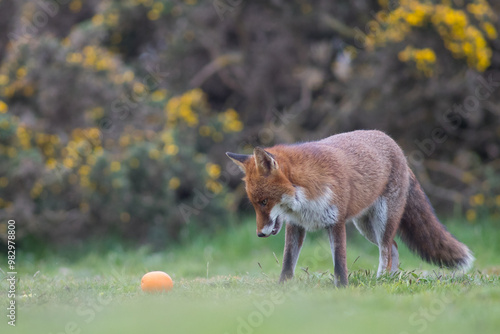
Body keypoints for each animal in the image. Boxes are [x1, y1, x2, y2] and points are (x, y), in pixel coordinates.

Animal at [229, 129, 474, 286]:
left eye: (264, 202)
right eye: (254, 204)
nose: (260, 234)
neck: (306, 199)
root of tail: (397, 147)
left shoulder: (335, 222)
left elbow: (340, 262)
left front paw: (342, 288)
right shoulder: (296, 226)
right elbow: (288, 263)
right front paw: (282, 288)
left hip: (382, 221)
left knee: (386, 250)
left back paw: (380, 280)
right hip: (366, 227)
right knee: (394, 247)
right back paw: (388, 280)